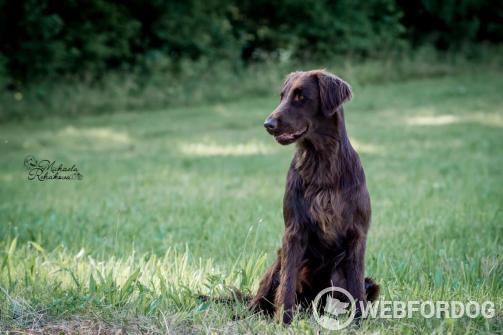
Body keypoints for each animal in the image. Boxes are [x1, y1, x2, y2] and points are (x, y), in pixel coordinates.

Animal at [250, 69, 380, 324]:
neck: (321, 161)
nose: (268, 124)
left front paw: (359, 322)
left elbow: (356, 285)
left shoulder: (357, 233)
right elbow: (287, 283)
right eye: (282, 96)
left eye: (301, 97)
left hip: (365, 282)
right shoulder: (294, 231)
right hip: (276, 263)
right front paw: (285, 321)